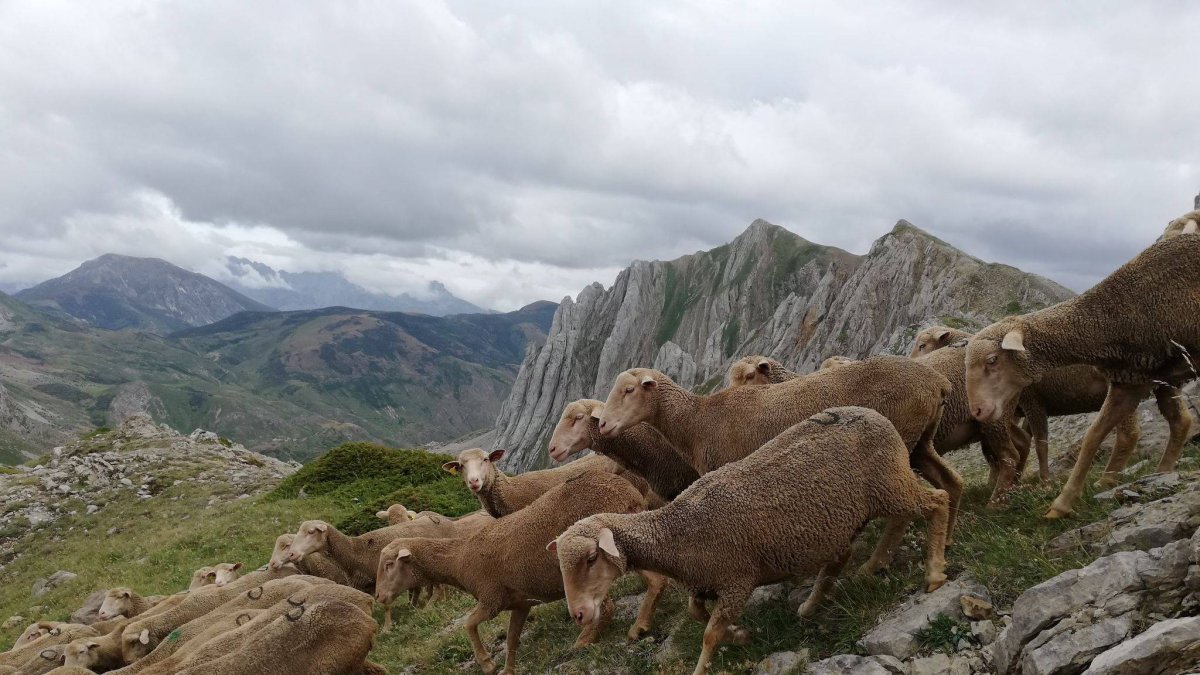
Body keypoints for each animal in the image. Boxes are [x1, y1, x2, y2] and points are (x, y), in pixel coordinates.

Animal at [376, 470, 668, 675]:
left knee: (608, 606)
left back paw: (589, 639)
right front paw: (507, 669)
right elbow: (512, 640)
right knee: (656, 581)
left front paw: (486, 663)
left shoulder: (491, 598)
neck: (459, 559)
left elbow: (470, 623)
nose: (379, 597)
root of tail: (626, 491)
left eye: (389, 564)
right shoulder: (520, 603)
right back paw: (638, 626)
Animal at [553, 407, 950, 675]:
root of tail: (872, 413)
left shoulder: (736, 580)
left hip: (890, 485)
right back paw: (813, 604)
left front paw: (711, 658)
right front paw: (742, 634)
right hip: (844, 518)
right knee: (844, 555)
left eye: (591, 558)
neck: (674, 531)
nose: (579, 614)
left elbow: (709, 634)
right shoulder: (705, 581)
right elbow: (697, 613)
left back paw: (934, 573)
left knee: (938, 502)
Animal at [597, 357, 963, 554]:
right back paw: (945, 543)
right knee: (952, 482)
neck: (698, 420)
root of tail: (937, 381)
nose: (601, 424)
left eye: (628, 390)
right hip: (919, 442)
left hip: (898, 447)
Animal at [965, 233, 1199, 518]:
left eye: (992, 360)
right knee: (1180, 421)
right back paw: (1160, 472)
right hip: (1164, 379)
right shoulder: (1130, 380)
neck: (1115, 317)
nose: (977, 411)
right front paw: (1062, 503)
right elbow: (1093, 435)